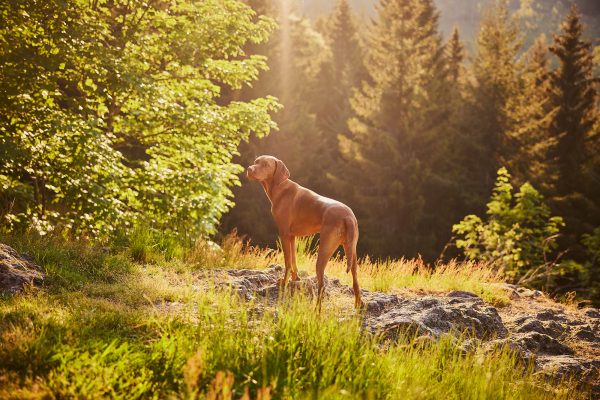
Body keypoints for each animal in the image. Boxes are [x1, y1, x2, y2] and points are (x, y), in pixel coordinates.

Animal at [246, 155, 364, 308]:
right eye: (256, 162)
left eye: (266, 164)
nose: (249, 169)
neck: (280, 187)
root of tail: (348, 216)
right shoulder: (291, 236)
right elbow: (294, 261)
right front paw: (295, 279)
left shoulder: (284, 234)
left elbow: (287, 263)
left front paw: (284, 283)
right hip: (352, 252)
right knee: (356, 282)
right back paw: (358, 305)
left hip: (324, 251)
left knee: (322, 286)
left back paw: (316, 311)